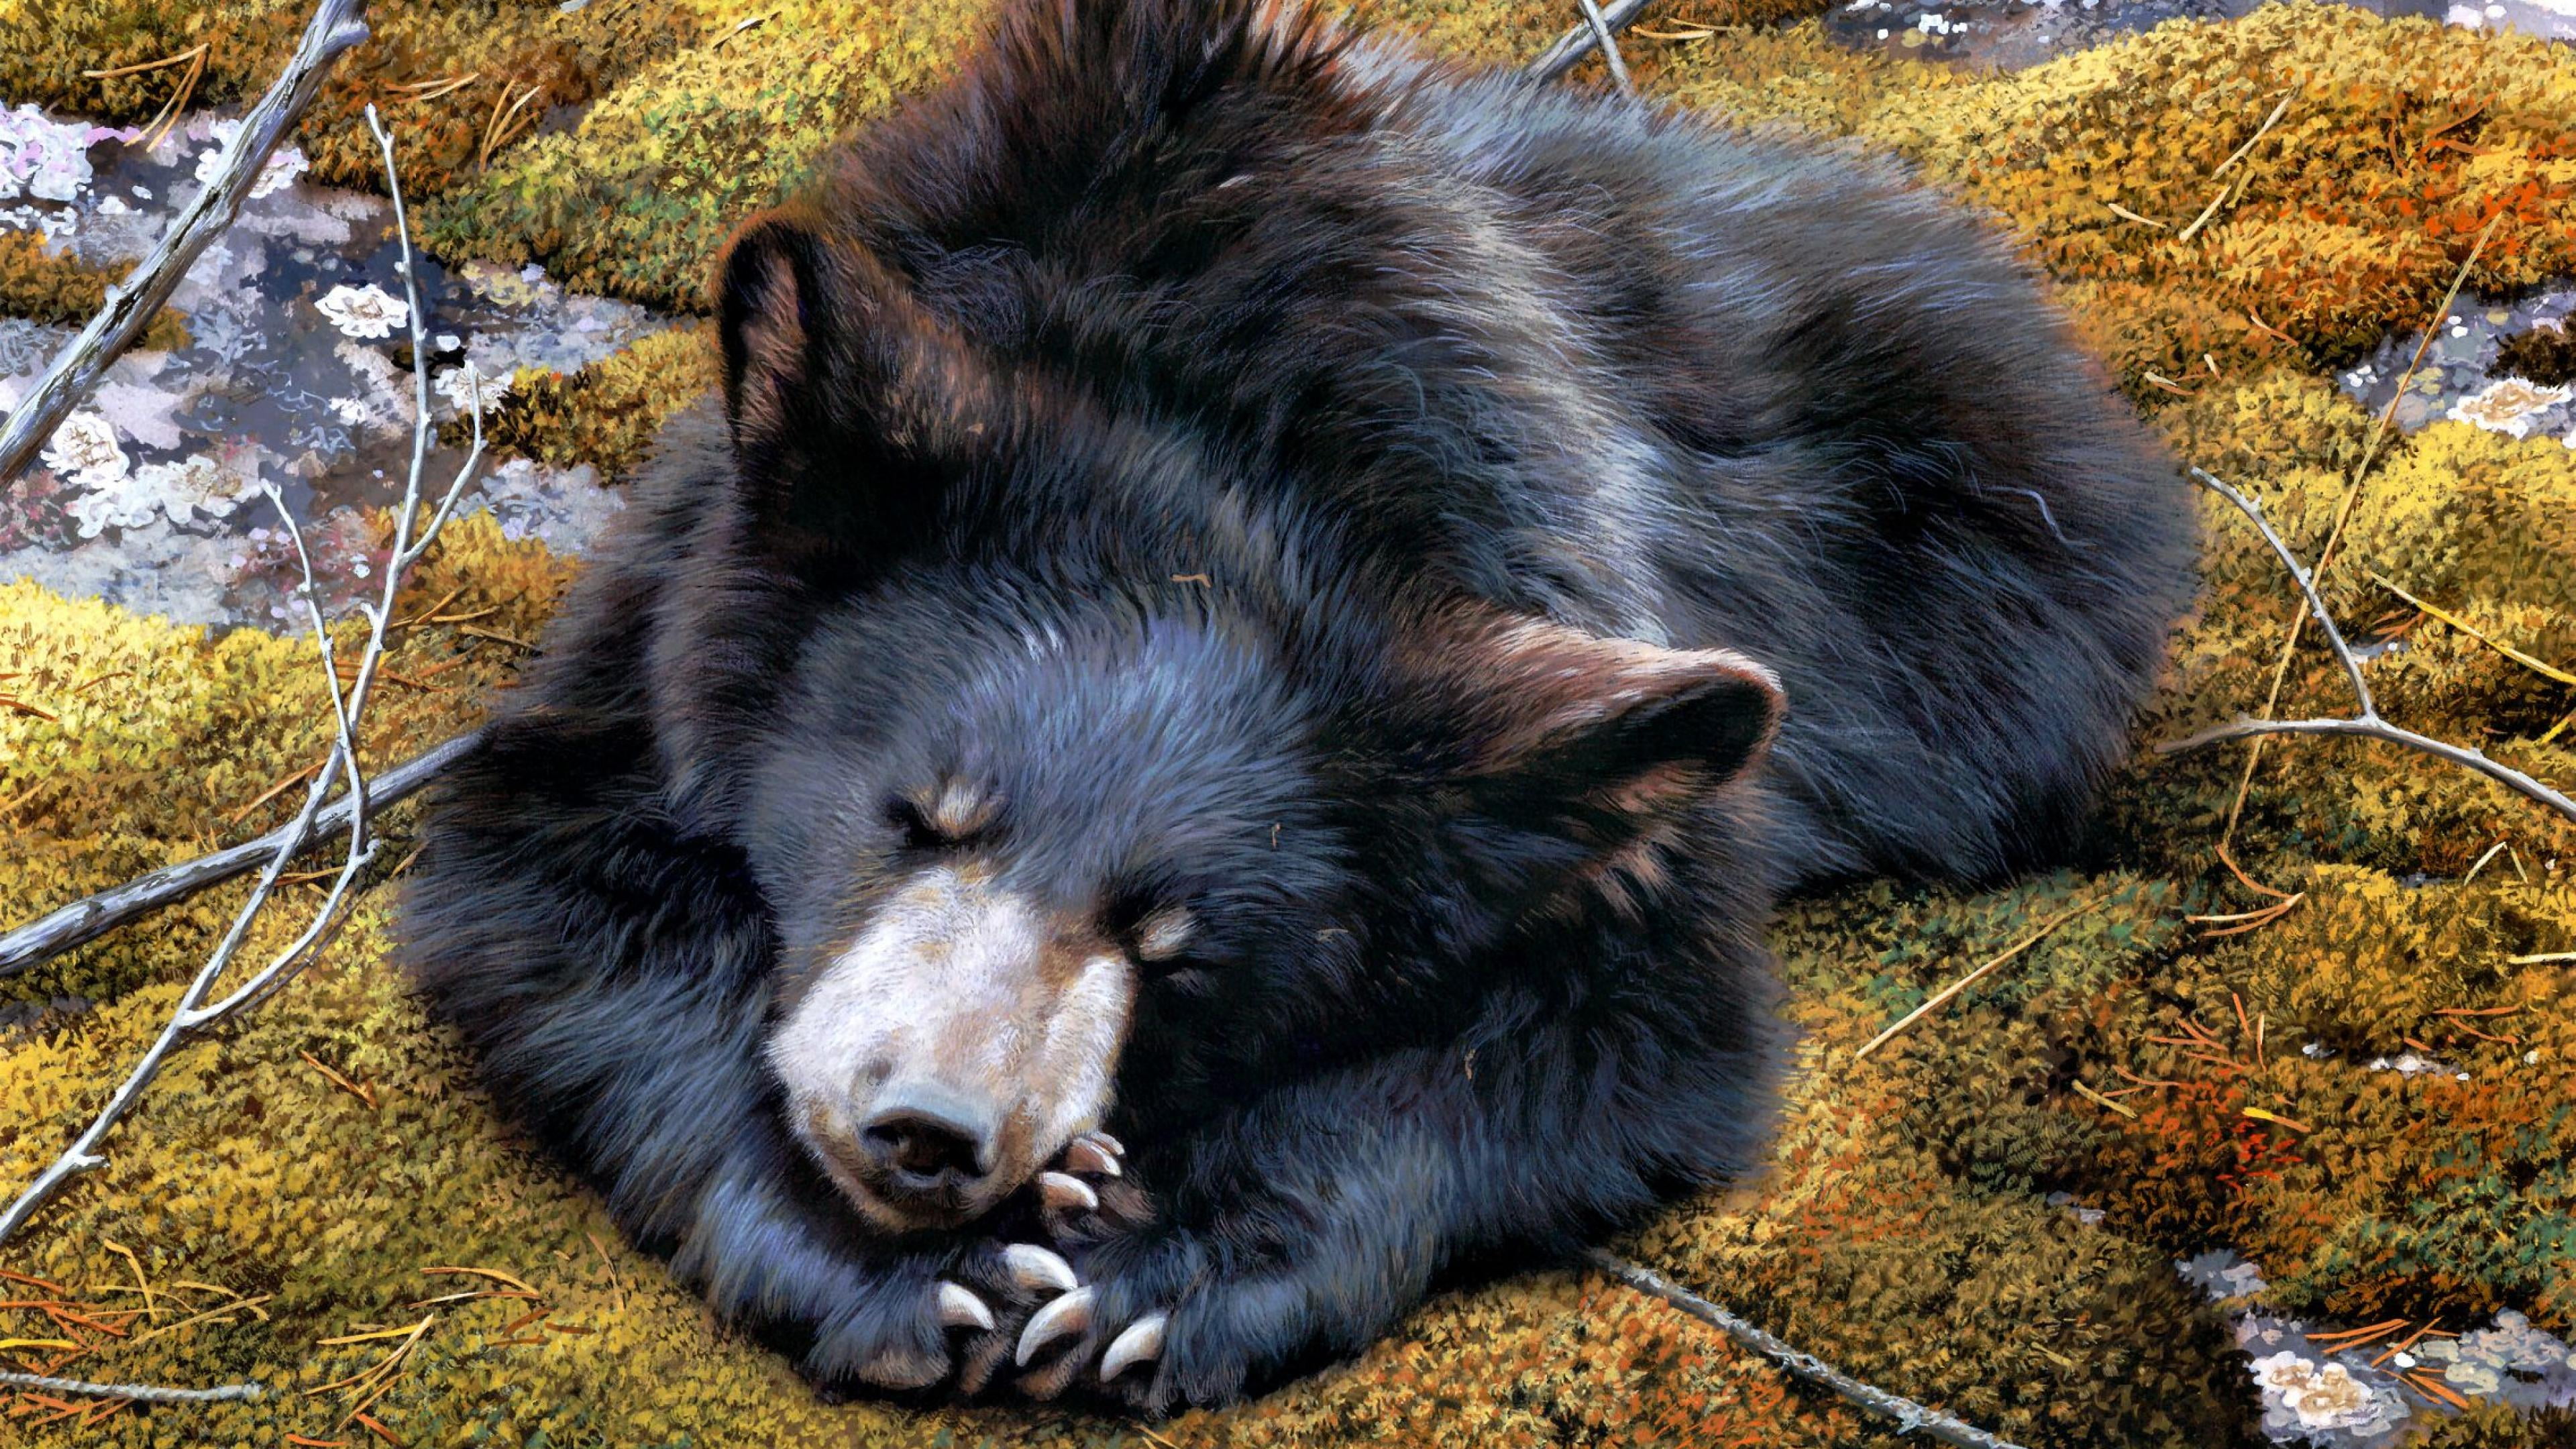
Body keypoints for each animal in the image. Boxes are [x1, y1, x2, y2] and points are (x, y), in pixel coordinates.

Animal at [398, 0, 2196, 1415]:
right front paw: (893, 1268)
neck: (1226, 437)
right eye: (913, 814)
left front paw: (1157, 1272)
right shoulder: (657, 620)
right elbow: (547, 905)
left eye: (1174, 947)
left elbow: (1631, 1037)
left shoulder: (1577, 640)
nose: (926, 1131)